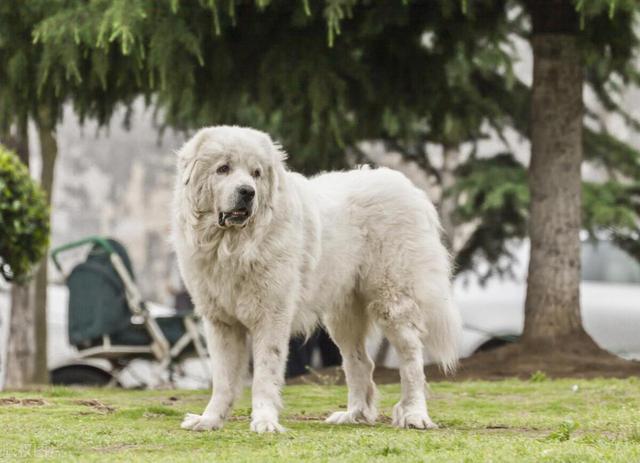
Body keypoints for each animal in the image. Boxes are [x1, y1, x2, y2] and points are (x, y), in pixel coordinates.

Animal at [170, 125, 460, 434]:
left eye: (256, 173)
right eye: (223, 168)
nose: (247, 192)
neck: (233, 246)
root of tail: (411, 190)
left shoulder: (271, 316)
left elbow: (264, 374)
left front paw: (265, 421)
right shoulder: (220, 321)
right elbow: (223, 379)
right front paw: (209, 419)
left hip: (392, 300)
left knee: (411, 359)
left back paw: (415, 414)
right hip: (342, 317)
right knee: (360, 363)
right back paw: (354, 414)